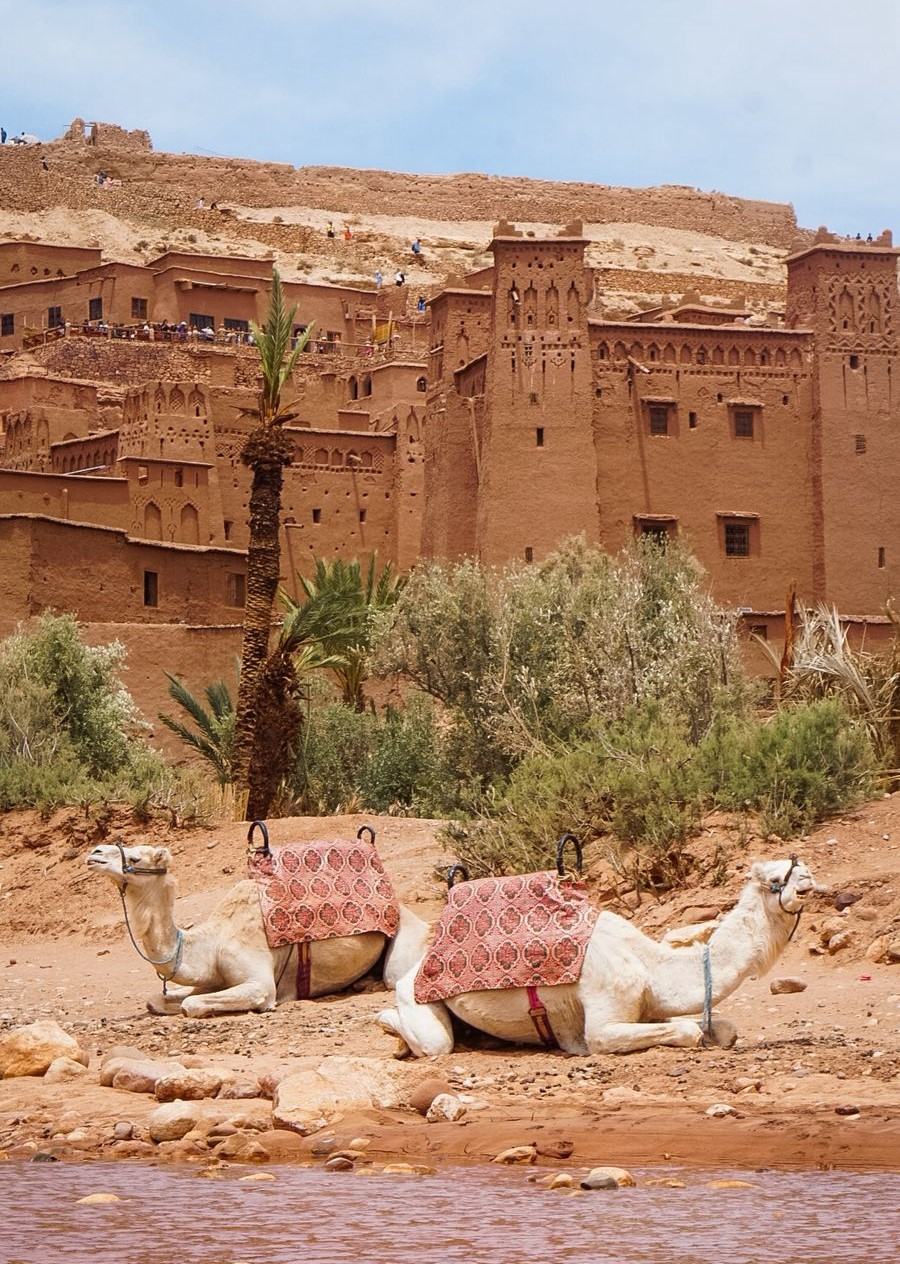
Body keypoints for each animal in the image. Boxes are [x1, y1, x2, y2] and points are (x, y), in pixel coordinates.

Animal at [86, 842, 424, 1017]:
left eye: (134, 856)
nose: (95, 852)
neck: (211, 942)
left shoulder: (259, 982)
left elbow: (191, 1004)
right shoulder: (210, 980)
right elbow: (158, 999)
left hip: (404, 937)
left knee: (395, 975)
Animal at [377, 857, 818, 1056]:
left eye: (795, 865)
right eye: (776, 877)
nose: (809, 875)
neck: (649, 964)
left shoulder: (648, 1006)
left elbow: (724, 1029)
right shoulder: (604, 1019)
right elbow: (684, 1031)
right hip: (416, 996)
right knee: (434, 1043)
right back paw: (386, 1026)